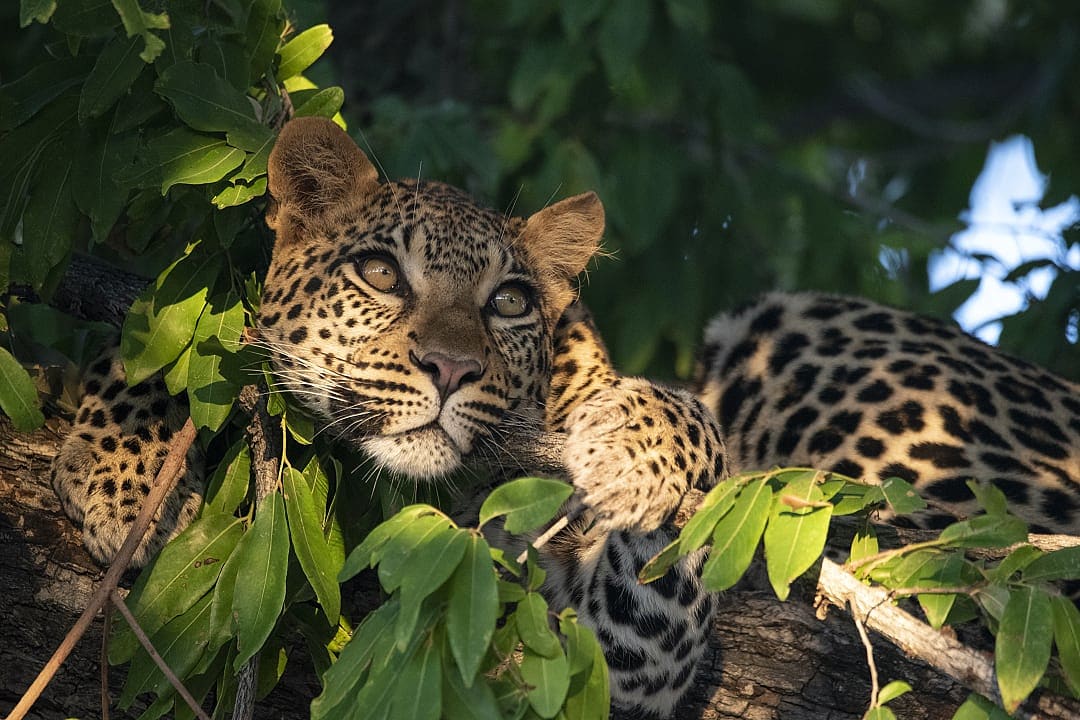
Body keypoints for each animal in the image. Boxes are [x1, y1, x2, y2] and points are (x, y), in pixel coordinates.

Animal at [50, 117, 1080, 718]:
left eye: (508, 302)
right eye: (380, 272)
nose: (452, 368)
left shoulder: (629, 656)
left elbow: (677, 448)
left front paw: (635, 453)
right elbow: (164, 343)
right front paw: (124, 469)